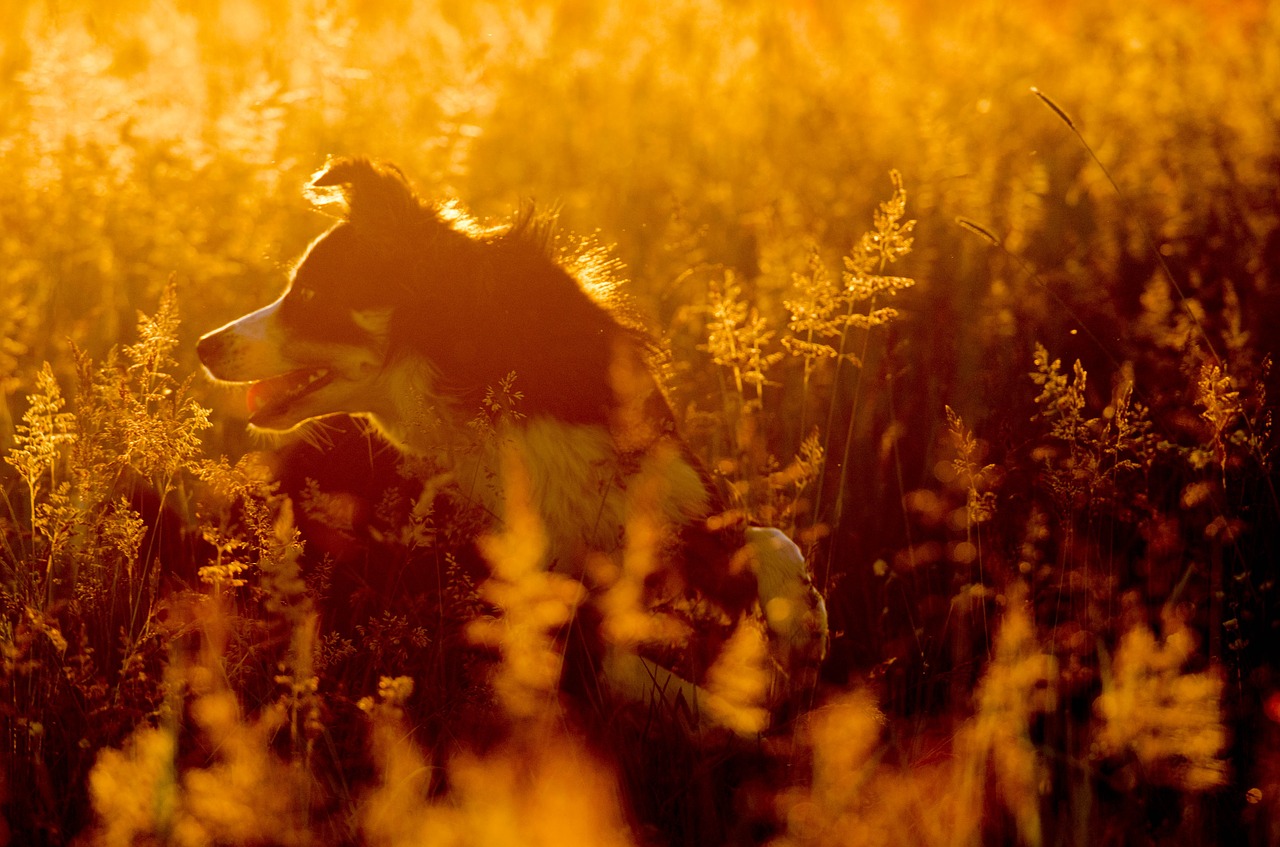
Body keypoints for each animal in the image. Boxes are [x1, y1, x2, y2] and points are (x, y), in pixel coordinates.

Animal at [194, 157, 824, 736]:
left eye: (310, 294)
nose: (203, 346)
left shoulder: (662, 489)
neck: (480, 383)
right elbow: (676, 693)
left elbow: (771, 540)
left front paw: (805, 631)